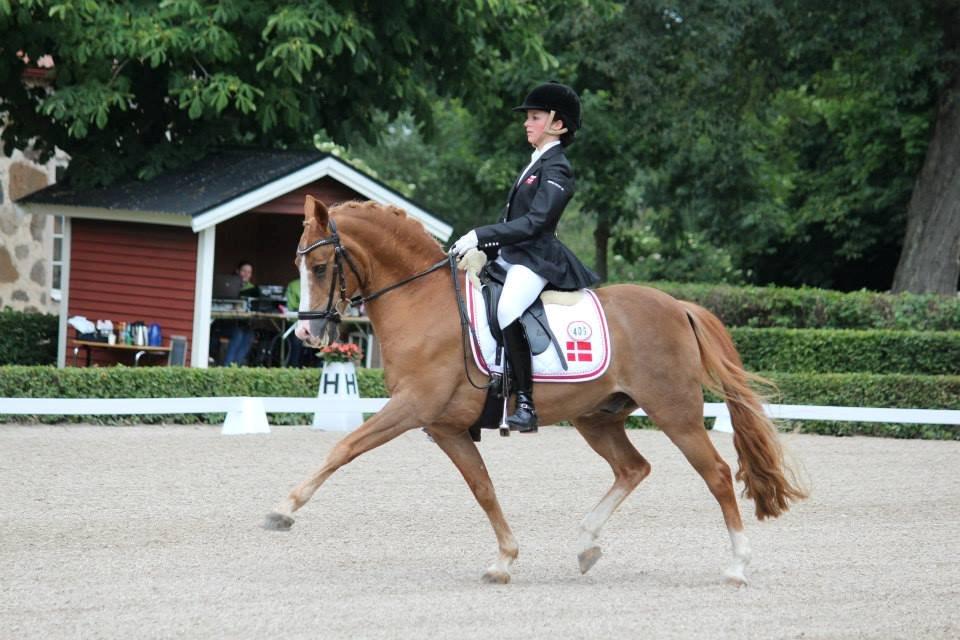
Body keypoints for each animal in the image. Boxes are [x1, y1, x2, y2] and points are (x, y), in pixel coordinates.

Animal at [266, 195, 808, 584]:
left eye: (319, 268)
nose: (309, 334)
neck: (421, 301)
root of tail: (678, 306)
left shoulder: (412, 407)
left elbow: (344, 448)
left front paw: (283, 510)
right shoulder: (445, 427)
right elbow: (483, 488)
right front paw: (504, 560)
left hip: (675, 412)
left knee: (715, 473)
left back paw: (737, 567)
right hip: (597, 416)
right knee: (633, 468)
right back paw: (587, 545)